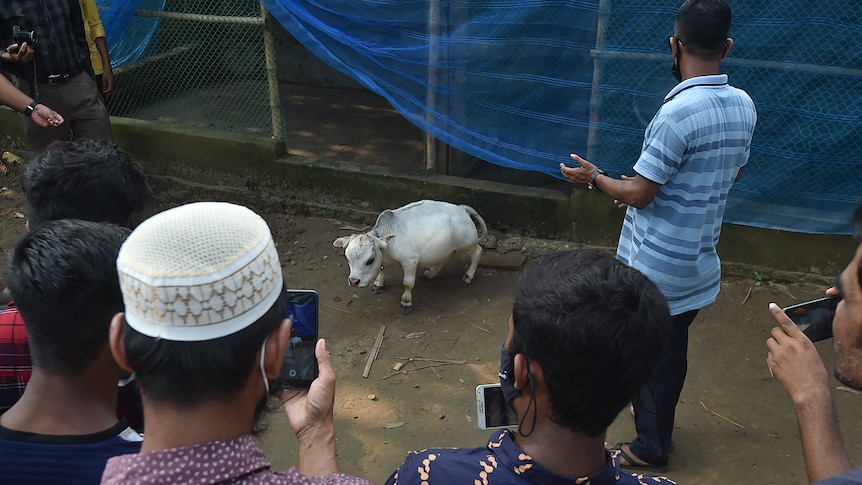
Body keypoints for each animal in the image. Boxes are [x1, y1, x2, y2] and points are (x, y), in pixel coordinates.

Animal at [334, 199, 490, 314]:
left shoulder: (410, 261)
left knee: (478, 252)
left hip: (468, 243)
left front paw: (406, 302)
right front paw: (378, 284)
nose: (354, 281)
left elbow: (407, 283)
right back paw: (430, 273)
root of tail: (461, 208)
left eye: (370, 260)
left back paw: (468, 277)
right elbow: (381, 270)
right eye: (347, 258)